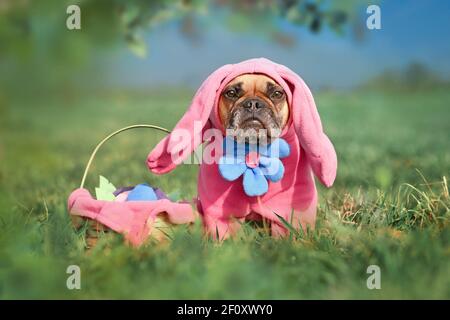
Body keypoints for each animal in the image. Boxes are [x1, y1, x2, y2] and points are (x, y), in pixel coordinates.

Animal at [148, 58, 338, 240]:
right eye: (231, 93)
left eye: (277, 94)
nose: (253, 103)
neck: (252, 148)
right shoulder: (220, 210)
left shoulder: (289, 208)